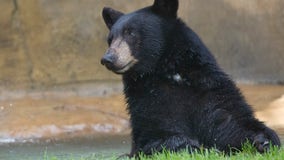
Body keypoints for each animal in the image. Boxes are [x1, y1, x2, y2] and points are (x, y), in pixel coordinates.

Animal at [101, 0, 280, 157]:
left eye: (130, 33)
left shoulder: (207, 86)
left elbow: (228, 119)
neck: (169, 71)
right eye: (110, 39)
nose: (108, 59)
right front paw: (191, 147)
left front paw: (264, 140)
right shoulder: (146, 97)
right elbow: (157, 131)